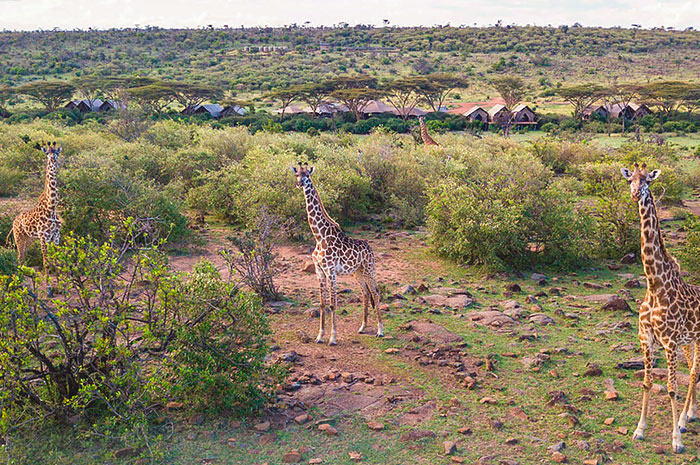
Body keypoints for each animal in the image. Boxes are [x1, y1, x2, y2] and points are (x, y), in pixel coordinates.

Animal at [8, 140, 63, 296]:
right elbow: (45, 261)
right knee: (19, 258)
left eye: (56, 153)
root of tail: (14, 221)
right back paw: (21, 283)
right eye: (47, 153)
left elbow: (57, 260)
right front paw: (49, 289)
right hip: (19, 238)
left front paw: (62, 286)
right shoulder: (44, 237)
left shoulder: (56, 237)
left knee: (22, 258)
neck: (51, 206)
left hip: (29, 239)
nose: (53, 159)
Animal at [292, 163, 386, 344]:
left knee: (376, 293)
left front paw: (333, 338)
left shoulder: (331, 272)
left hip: (369, 269)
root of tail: (370, 248)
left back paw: (380, 330)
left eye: (307, 175)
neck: (319, 236)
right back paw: (362, 327)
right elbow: (322, 304)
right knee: (365, 293)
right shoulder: (320, 271)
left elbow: (333, 304)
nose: (300, 184)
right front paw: (320, 336)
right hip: (357, 272)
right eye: (297, 174)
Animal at [624, 161, 700, 452]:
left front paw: (676, 440)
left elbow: (671, 387)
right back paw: (689, 415)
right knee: (694, 371)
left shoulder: (669, 342)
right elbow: (646, 382)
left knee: (693, 373)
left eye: (647, 180)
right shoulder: (646, 338)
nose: (635, 193)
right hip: (690, 341)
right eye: (630, 180)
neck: (655, 285)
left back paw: (682, 421)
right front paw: (639, 430)